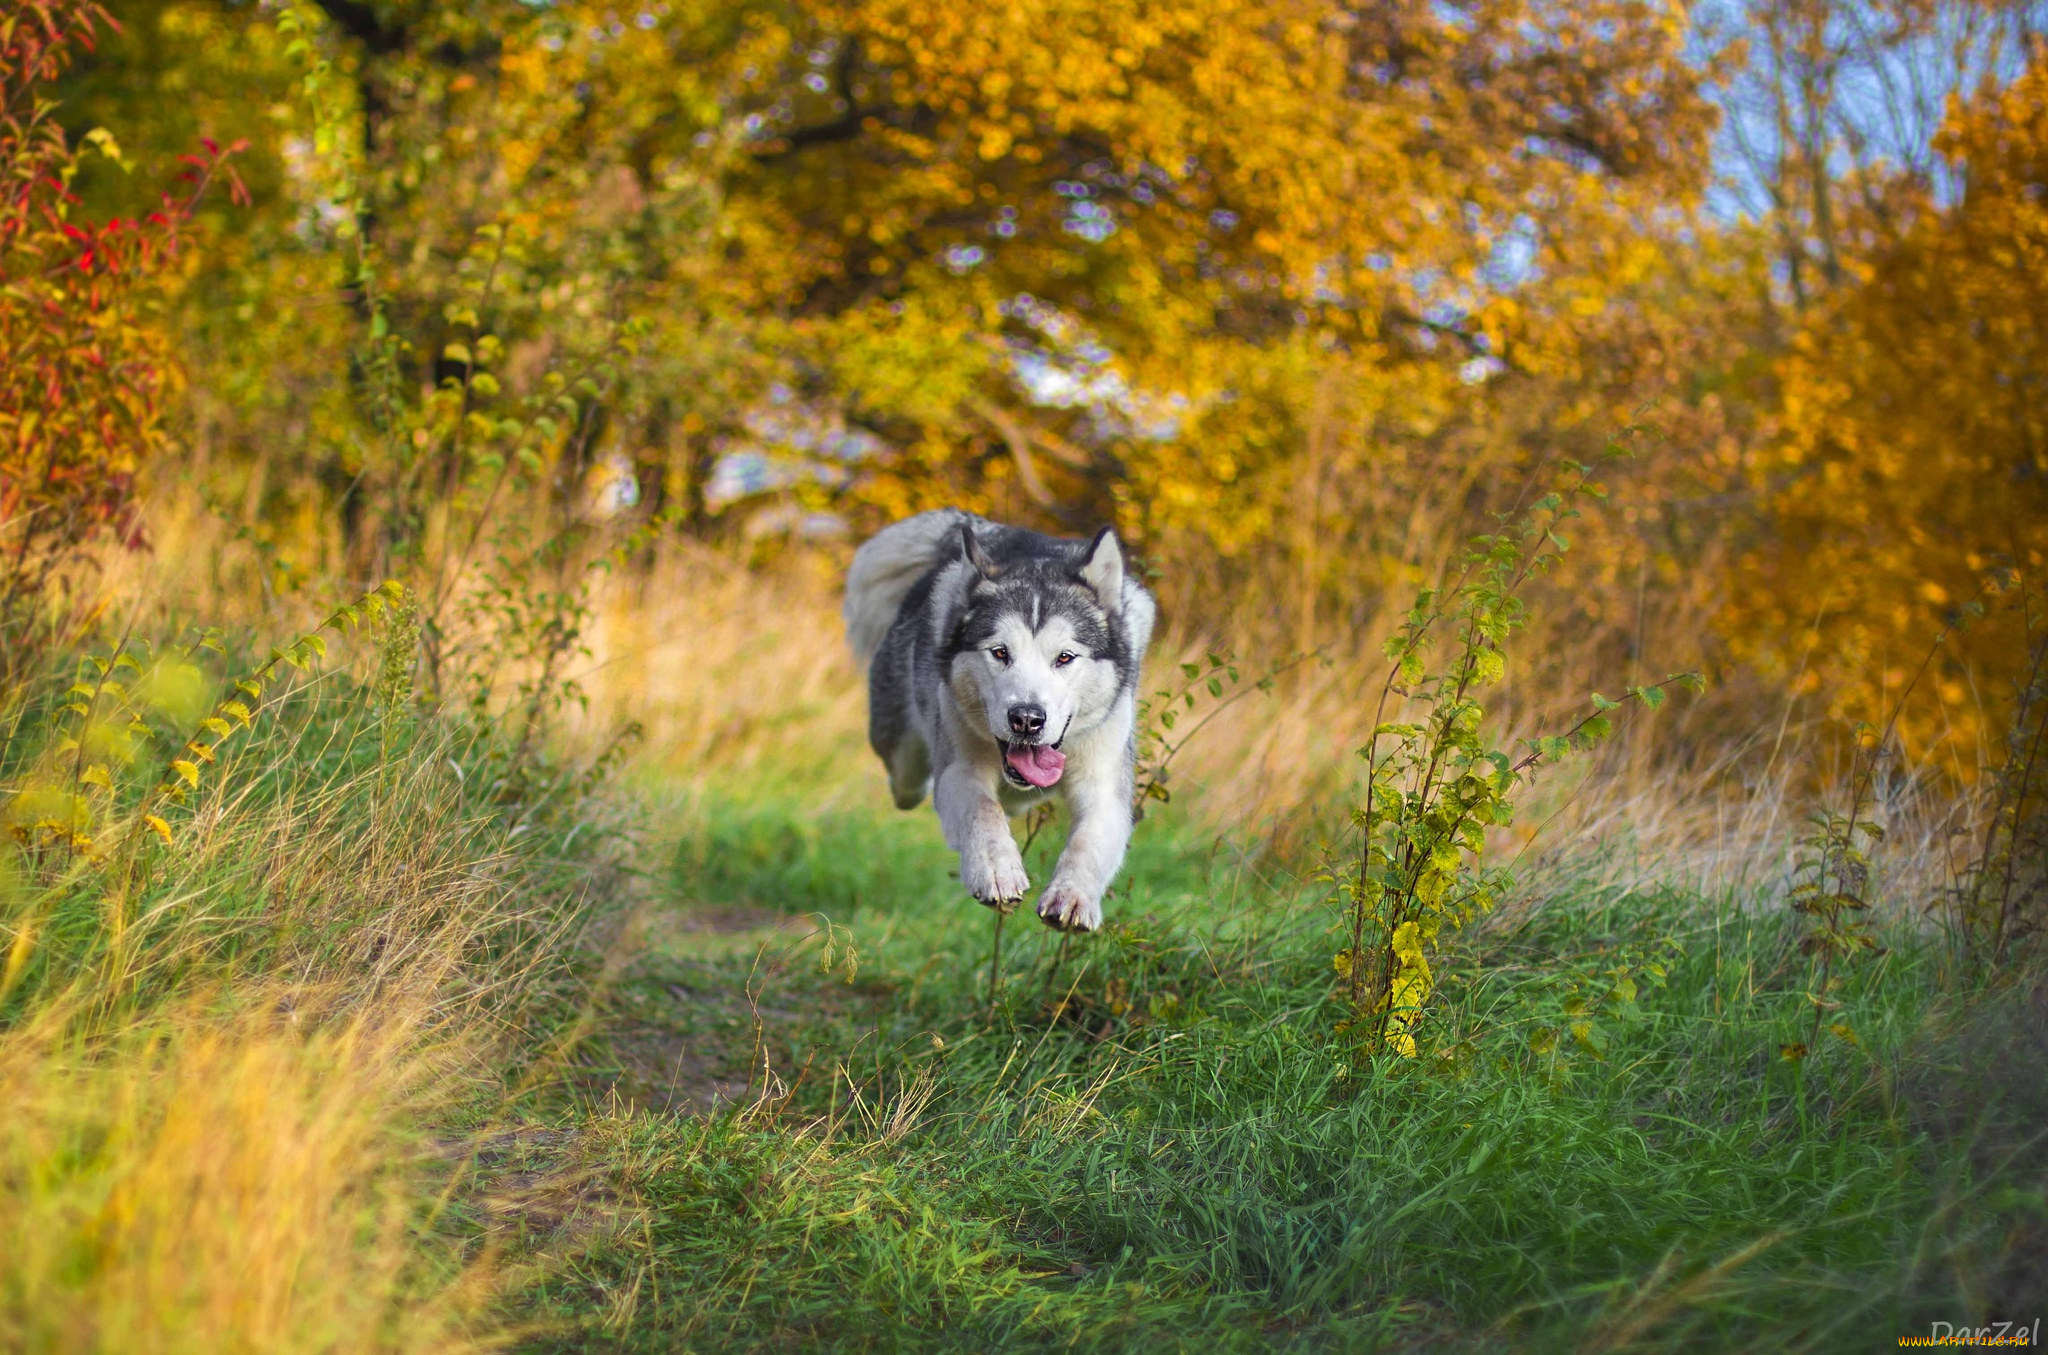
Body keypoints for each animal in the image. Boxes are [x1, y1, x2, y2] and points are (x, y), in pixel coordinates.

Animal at [835, 509, 1155, 933]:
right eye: (1000, 652)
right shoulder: (960, 768)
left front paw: (1073, 896)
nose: (1026, 718)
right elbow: (982, 811)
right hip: (902, 754)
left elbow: (1089, 839)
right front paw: (997, 871)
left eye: (1065, 657)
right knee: (909, 782)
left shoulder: (1104, 776)